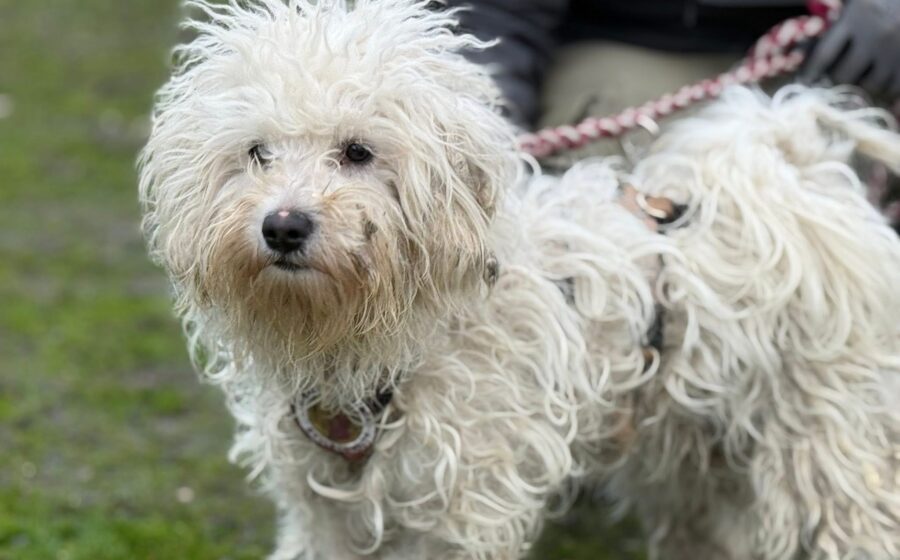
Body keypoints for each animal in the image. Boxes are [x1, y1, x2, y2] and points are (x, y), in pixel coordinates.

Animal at [139, 1, 900, 558]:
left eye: (356, 151)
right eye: (256, 152)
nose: (284, 226)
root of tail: (797, 168)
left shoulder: (459, 507)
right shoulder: (322, 509)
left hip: (827, 444)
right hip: (696, 457)